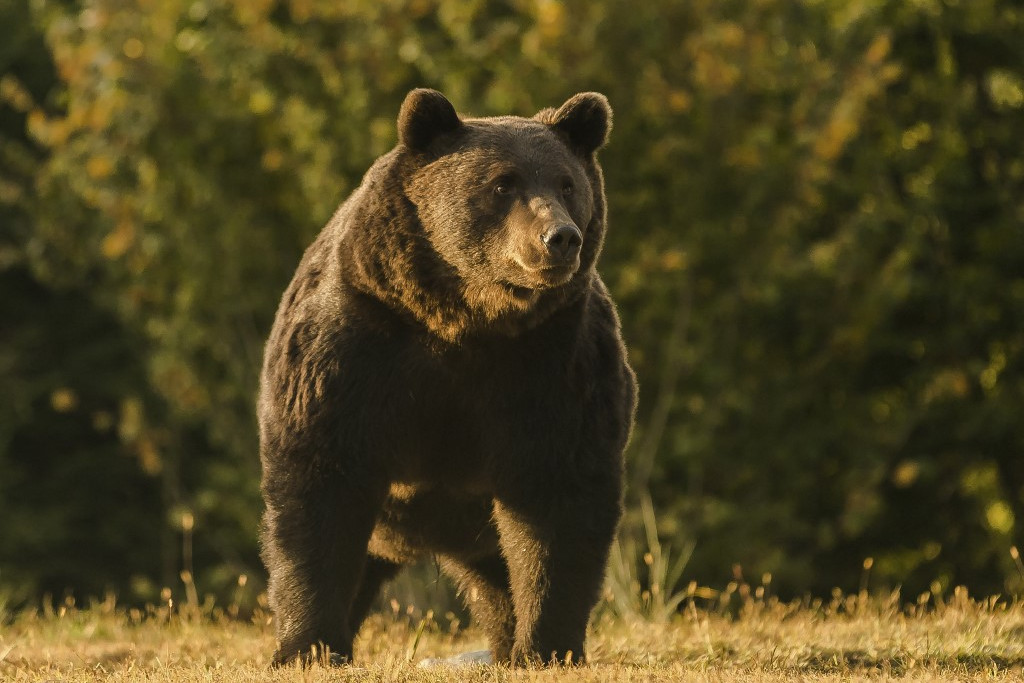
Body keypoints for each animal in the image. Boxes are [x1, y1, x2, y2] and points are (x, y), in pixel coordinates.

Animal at [258, 87, 630, 667]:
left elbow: (558, 496)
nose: (560, 238)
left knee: (498, 580)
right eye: (503, 182)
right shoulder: (354, 346)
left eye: (568, 184)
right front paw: (306, 647)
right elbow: (319, 484)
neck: (465, 318)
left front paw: (547, 646)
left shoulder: (555, 363)